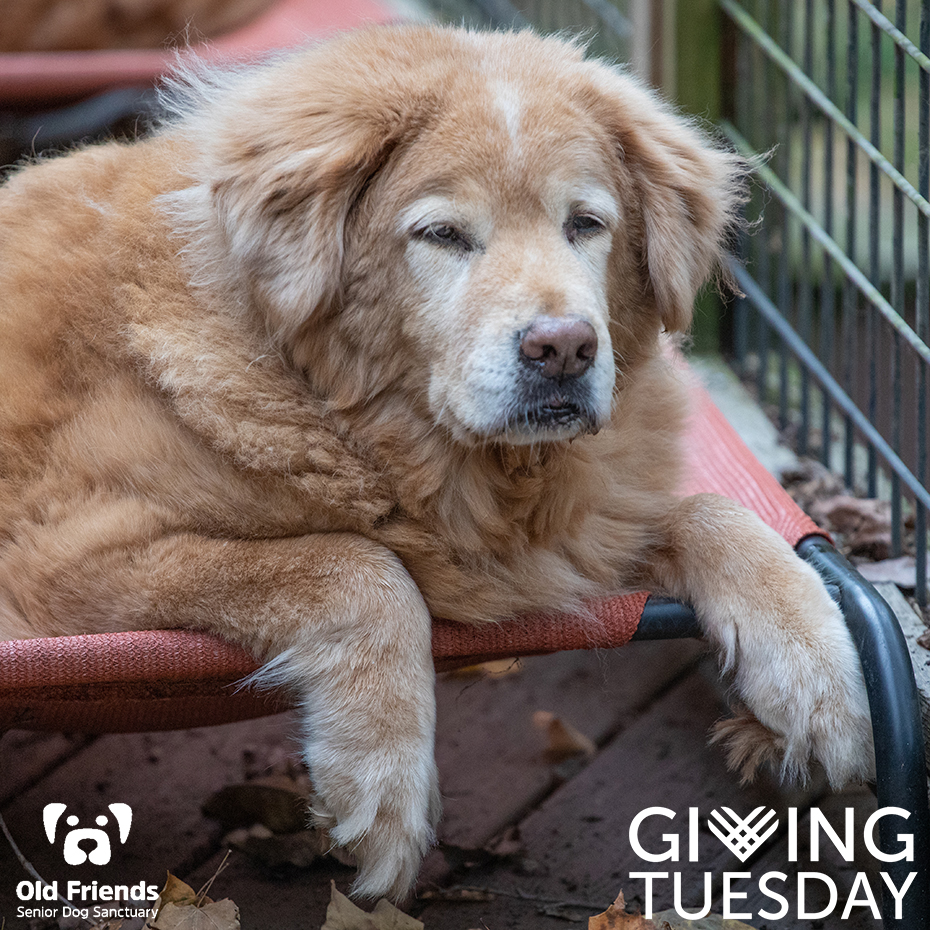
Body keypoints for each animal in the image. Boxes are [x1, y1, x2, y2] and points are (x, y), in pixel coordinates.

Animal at [0, 25, 872, 900]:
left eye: (585, 224)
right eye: (444, 235)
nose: (564, 349)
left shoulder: (573, 536)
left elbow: (716, 514)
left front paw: (815, 673)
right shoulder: (66, 560)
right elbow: (358, 566)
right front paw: (382, 785)